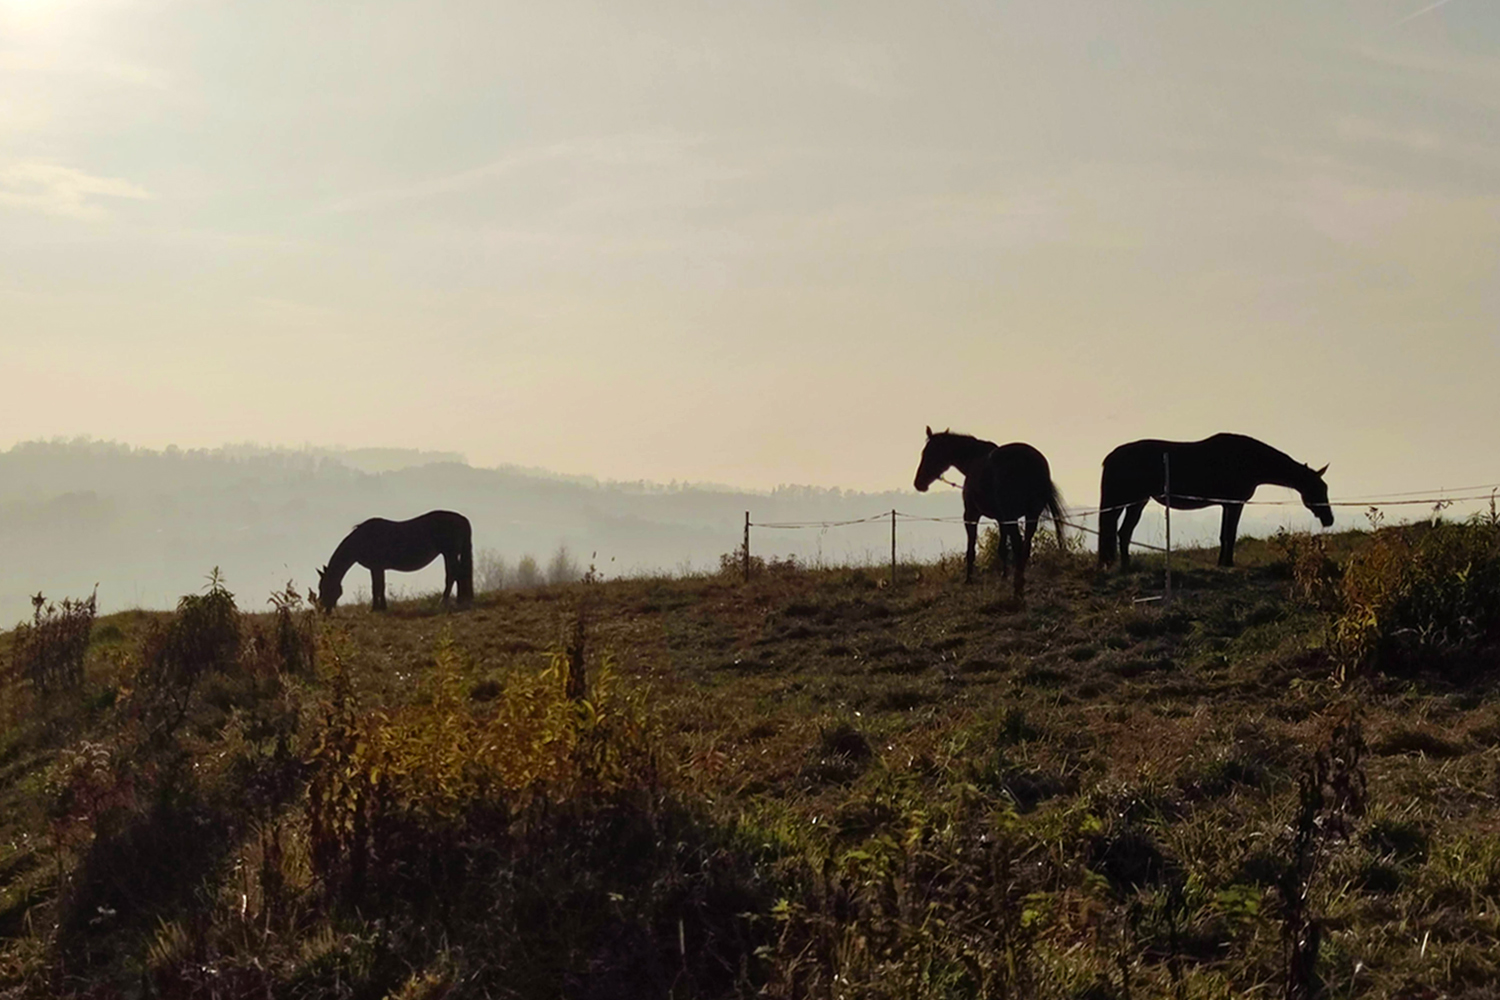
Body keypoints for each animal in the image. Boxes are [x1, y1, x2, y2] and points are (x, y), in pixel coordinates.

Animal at [318, 512, 474, 614]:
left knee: (453, 575)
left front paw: (375, 608)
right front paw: (382, 606)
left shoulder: (376, 567)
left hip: (449, 553)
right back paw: (460, 599)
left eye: (324, 587)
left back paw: (445, 601)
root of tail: (462, 519)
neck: (362, 539)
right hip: (450, 554)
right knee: (458, 574)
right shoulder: (378, 568)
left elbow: (377, 587)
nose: (323, 609)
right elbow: (380, 586)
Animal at [912, 425, 1068, 599]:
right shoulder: (1002, 519)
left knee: (1018, 545)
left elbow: (971, 549)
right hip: (1030, 515)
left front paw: (968, 579)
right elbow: (1002, 548)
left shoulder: (971, 515)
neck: (973, 460)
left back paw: (1018, 587)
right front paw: (1004, 575)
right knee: (1025, 547)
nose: (919, 483)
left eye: (929, 453)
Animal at [1098, 431, 1332, 569]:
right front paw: (1227, 563)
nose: (1329, 519)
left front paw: (1222, 562)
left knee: (1122, 532)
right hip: (1128, 501)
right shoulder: (1235, 504)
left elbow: (1224, 535)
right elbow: (1230, 534)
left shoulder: (1227, 505)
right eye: (1317, 489)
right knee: (1119, 530)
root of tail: (1111, 456)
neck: (1248, 461)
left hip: (1136, 502)